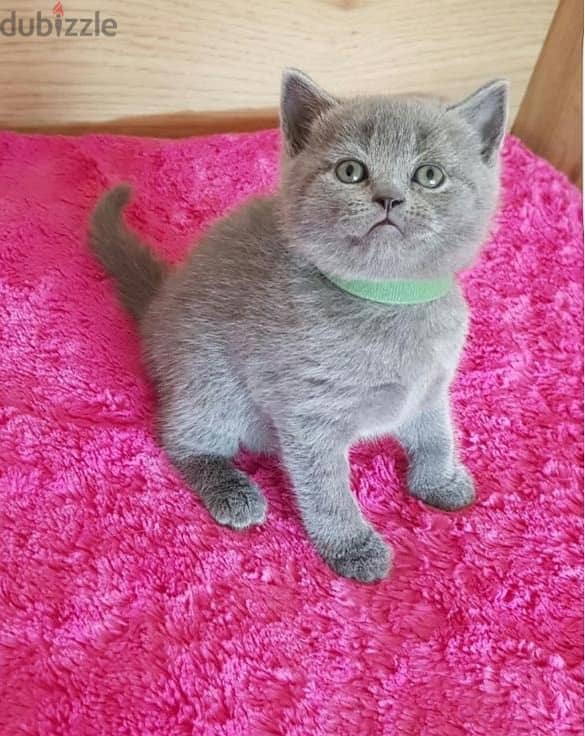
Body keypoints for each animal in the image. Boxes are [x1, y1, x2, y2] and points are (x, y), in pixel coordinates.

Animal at [90, 72, 506, 584]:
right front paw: (351, 546)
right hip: (211, 381)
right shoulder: (309, 412)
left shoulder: (431, 387)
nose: (389, 197)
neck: (387, 299)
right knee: (179, 437)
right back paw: (232, 488)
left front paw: (440, 479)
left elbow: (436, 433)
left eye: (429, 176)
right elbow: (327, 489)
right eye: (350, 171)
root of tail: (156, 308)